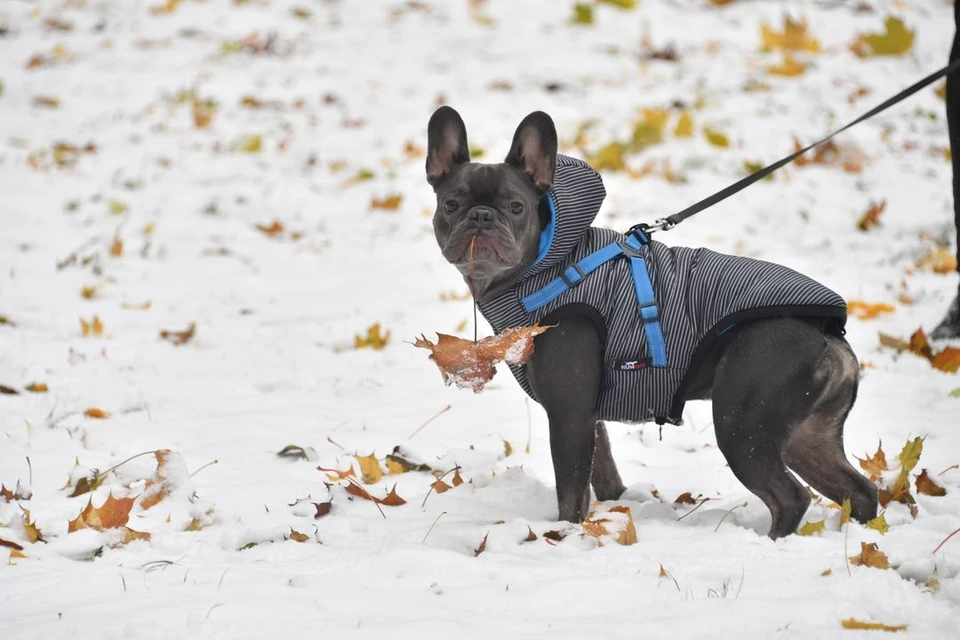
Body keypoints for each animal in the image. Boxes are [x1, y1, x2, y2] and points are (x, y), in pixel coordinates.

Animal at [426, 107, 876, 536]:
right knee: (858, 490)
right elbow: (603, 474)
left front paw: (565, 534)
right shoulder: (589, 416)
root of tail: (827, 335)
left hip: (742, 424)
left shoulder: (568, 414)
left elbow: (571, 490)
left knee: (790, 497)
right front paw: (610, 514)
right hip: (806, 434)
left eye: (516, 207)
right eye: (451, 205)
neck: (546, 265)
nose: (481, 217)